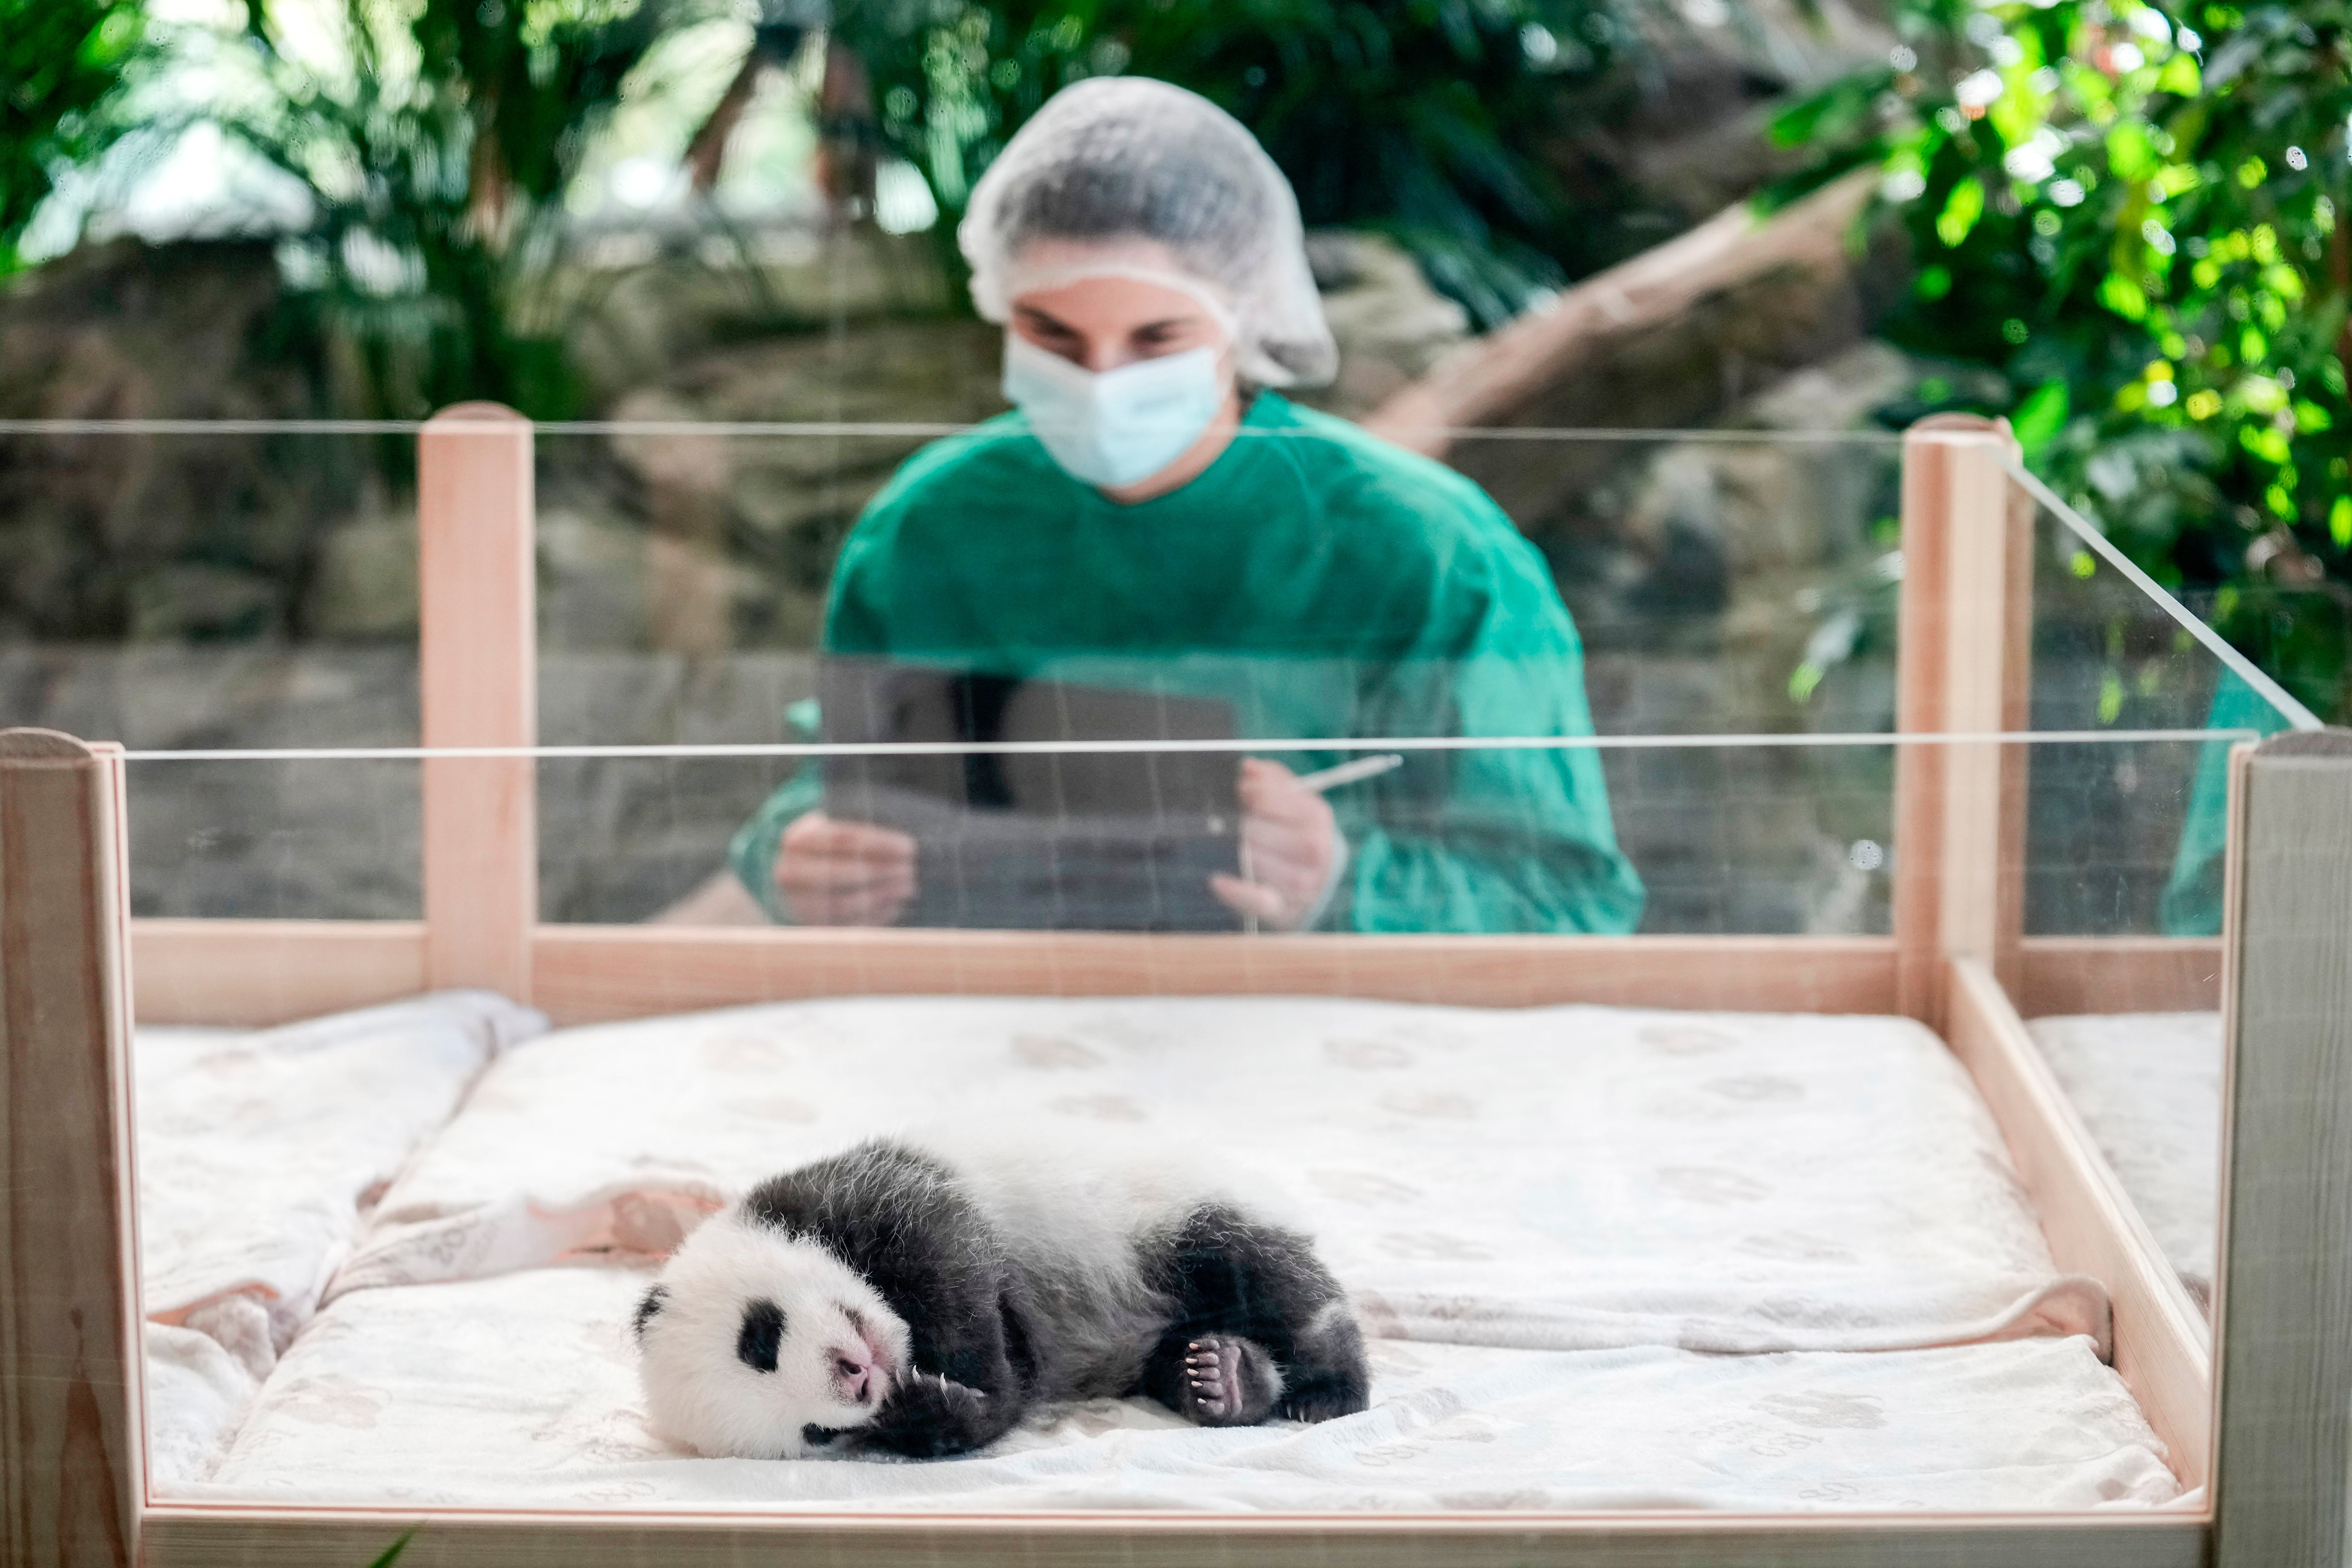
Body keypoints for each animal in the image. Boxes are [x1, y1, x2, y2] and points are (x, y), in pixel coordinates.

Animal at [631, 1134, 1370, 1460]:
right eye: (815, 1432)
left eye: (760, 1337)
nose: (860, 1378)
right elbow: (1010, 1390)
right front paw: (926, 1403)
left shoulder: (865, 1192)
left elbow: (950, 1258)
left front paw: (958, 1373)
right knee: (1180, 1355)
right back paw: (1222, 1378)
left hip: (1170, 1212)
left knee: (1266, 1274)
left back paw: (1327, 1388)